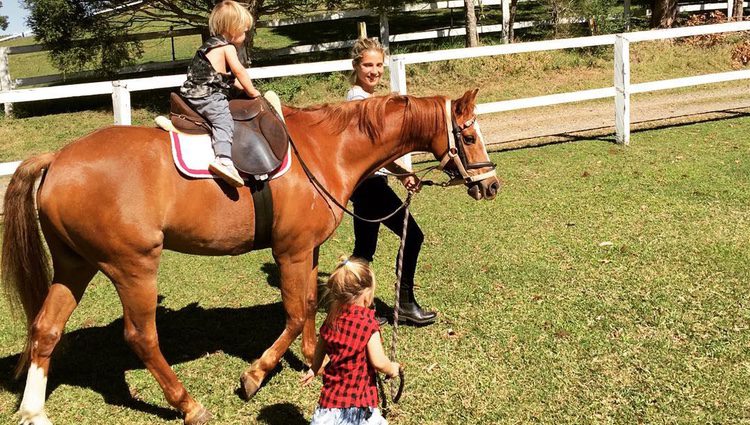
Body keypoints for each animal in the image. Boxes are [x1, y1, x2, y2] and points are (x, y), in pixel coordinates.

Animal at [5, 88, 502, 422]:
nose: (492, 184)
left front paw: (313, 360)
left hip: (75, 266)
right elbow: (294, 313)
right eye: (469, 136)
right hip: (133, 268)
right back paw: (188, 405)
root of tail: (57, 160)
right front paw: (257, 374)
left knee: (46, 329)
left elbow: (309, 305)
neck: (326, 150)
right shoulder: (291, 251)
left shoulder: (308, 250)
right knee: (141, 337)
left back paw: (33, 410)